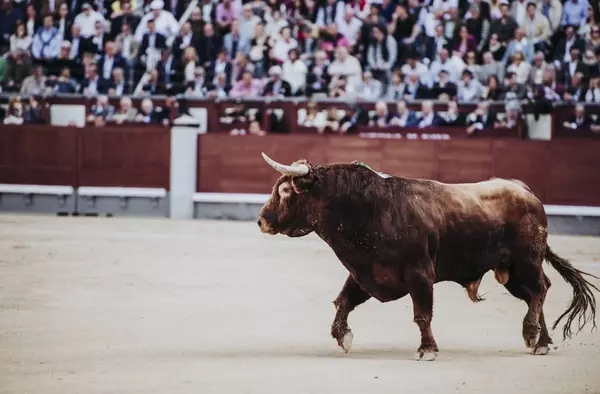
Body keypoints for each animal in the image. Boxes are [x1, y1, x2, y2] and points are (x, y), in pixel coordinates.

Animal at [255, 153, 596, 360]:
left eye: (285, 191)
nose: (261, 221)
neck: (369, 207)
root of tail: (524, 191)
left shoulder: (419, 274)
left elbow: (422, 314)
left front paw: (427, 349)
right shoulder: (366, 273)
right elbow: (344, 301)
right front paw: (344, 337)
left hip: (526, 260)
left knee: (540, 289)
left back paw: (531, 334)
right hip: (509, 270)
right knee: (534, 295)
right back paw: (542, 341)